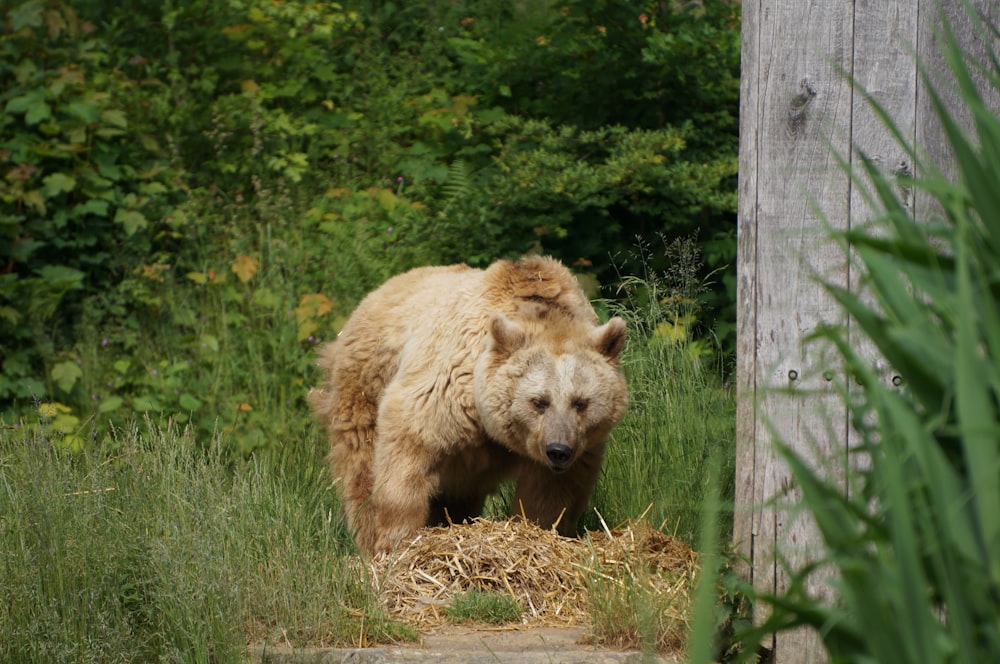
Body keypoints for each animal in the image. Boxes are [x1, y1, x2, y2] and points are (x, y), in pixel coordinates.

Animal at [308, 255, 628, 556]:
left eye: (580, 403)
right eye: (539, 401)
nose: (558, 450)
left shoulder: (578, 447)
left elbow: (551, 493)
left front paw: (540, 531)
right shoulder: (448, 389)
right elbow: (407, 450)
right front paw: (398, 540)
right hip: (364, 385)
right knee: (360, 463)